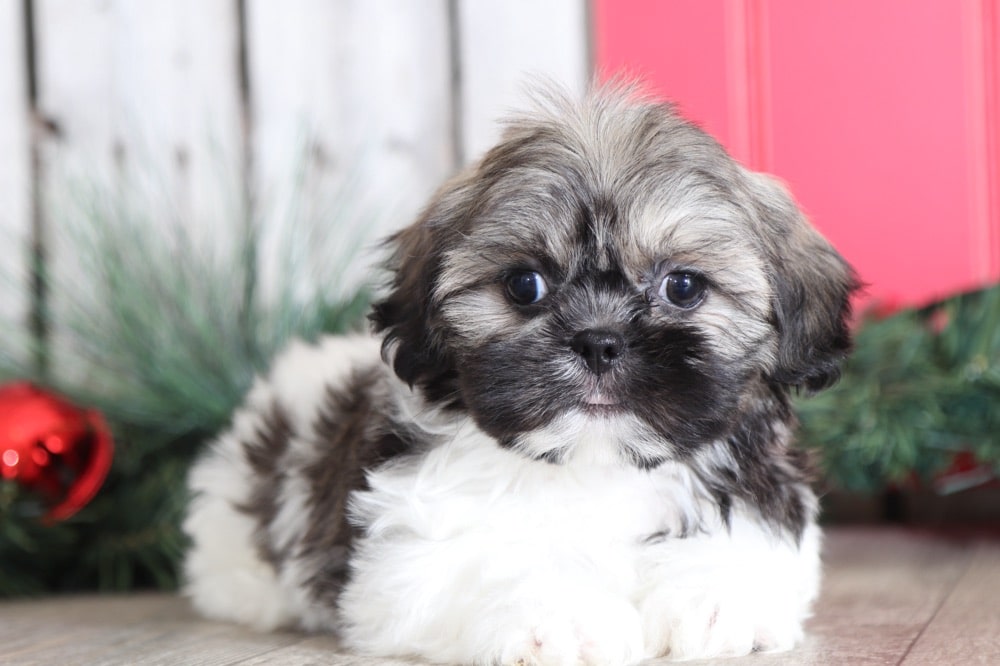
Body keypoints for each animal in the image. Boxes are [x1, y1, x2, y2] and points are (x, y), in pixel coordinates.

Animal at [183, 83, 857, 664]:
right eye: (524, 285)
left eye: (684, 286)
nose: (599, 342)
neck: (595, 466)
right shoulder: (411, 556)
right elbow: (490, 561)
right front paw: (557, 618)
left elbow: (743, 546)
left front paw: (715, 597)